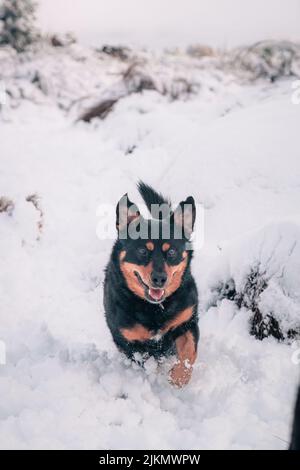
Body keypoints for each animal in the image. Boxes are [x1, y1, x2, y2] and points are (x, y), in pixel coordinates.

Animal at [103, 182, 199, 388]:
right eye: (142, 251)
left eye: (171, 252)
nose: (159, 278)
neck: (155, 309)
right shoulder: (129, 342)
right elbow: (148, 364)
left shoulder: (187, 321)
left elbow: (190, 352)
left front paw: (179, 378)